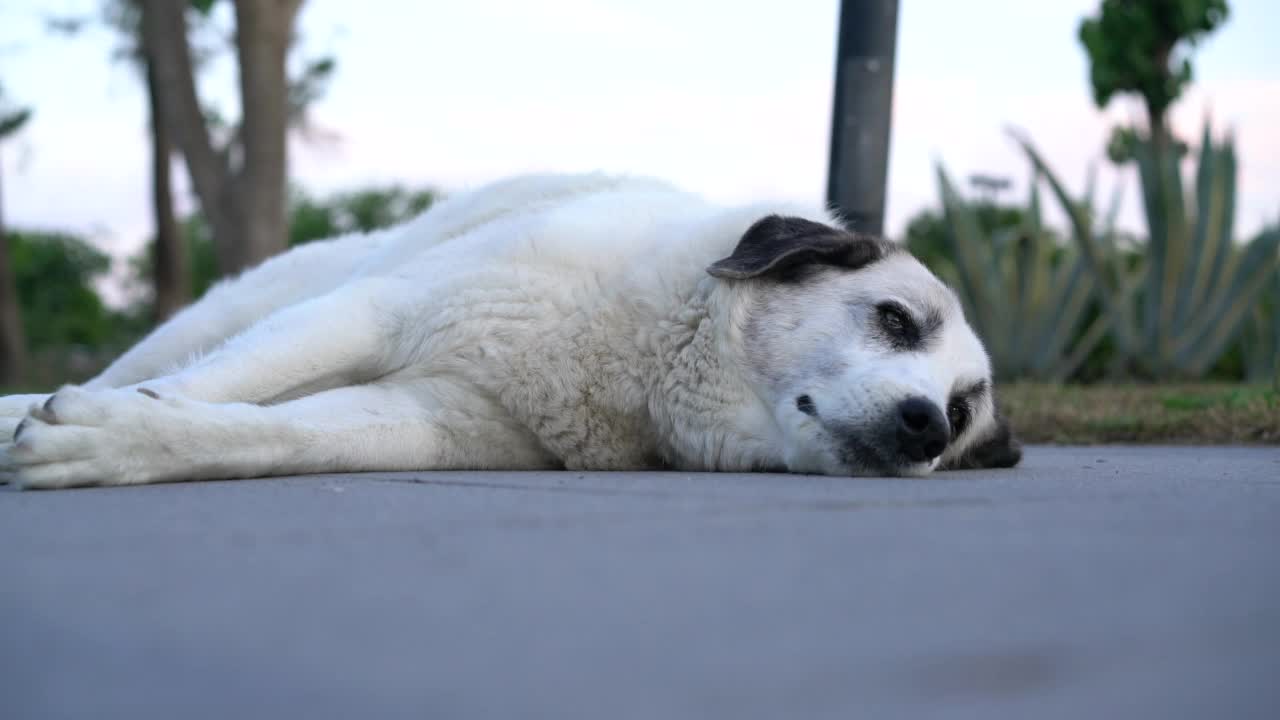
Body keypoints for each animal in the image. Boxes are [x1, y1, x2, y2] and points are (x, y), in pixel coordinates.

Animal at [0, 174, 1018, 486]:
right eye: (895, 319)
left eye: (964, 412)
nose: (927, 428)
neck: (650, 357)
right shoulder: (375, 314)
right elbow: (212, 390)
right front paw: (69, 421)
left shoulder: (426, 418)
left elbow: (255, 434)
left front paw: (113, 444)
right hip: (246, 312)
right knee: (177, 362)